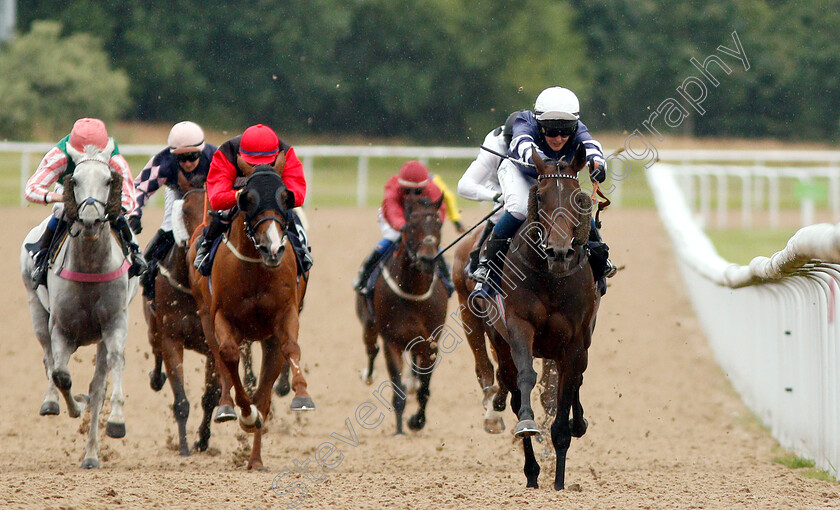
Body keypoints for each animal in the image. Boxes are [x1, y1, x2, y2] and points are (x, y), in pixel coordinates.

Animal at [20, 140, 139, 470]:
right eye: (74, 180)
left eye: (109, 181)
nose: (90, 220)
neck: (90, 264)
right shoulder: (61, 327)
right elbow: (61, 374)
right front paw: (73, 406)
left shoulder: (114, 323)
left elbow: (114, 367)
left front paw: (116, 421)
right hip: (36, 311)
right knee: (49, 360)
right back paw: (52, 402)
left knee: (98, 386)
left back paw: (91, 454)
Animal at [187, 163, 312, 470]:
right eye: (248, 198)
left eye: (286, 197)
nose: (273, 248)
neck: (256, 267)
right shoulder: (221, 317)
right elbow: (229, 356)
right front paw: (243, 413)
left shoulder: (285, 315)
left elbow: (290, 349)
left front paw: (302, 395)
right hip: (206, 318)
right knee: (221, 360)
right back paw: (226, 405)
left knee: (265, 394)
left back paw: (255, 459)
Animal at [352, 195, 446, 434]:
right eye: (411, 226)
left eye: (438, 224)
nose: (427, 259)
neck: (414, 291)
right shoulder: (391, 342)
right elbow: (397, 391)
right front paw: (399, 430)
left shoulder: (431, 343)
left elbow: (424, 388)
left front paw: (417, 421)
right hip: (368, 323)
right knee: (371, 349)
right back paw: (368, 375)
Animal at [460, 144, 596, 490]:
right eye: (542, 197)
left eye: (577, 197)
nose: (559, 252)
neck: (551, 278)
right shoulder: (518, 327)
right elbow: (526, 380)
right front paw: (527, 426)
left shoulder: (574, 343)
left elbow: (564, 398)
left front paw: (559, 482)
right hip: (497, 339)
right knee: (512, 385)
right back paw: (532, 472)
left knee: (575, 382)